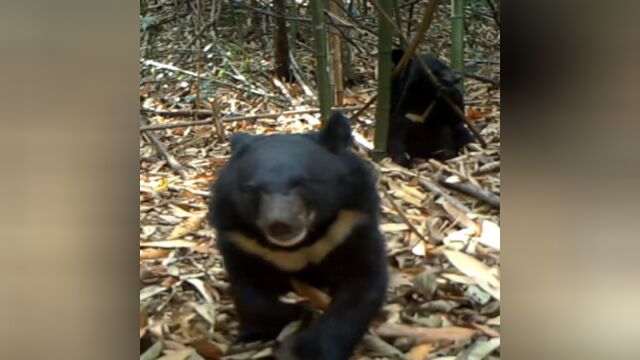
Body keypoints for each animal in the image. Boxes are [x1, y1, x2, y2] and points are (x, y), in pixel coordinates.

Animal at [210, 111, 390, 358]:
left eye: (304, 183)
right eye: (254, 190)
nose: (280, 225)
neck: (300, 245)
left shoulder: (351, 225)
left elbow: (362, 285)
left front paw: (307, 349)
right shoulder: (241, 240)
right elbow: (248, 291)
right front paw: (297, 311)